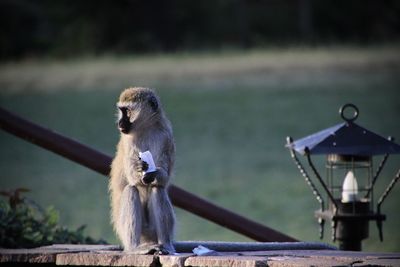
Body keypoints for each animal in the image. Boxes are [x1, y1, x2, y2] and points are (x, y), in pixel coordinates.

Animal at [111, 87, 177, 255]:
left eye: (127, 111)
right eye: (121, 111)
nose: (120, 123)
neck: (145, 128)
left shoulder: (166, 136)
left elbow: (163, 178)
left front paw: (154, 173)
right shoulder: (128, 141)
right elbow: (132, 178)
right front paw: (138, 169)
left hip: (151, 231)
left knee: (157, 188)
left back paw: (165, 245)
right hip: (131, 231)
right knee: (130, 190)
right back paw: (134, 248)